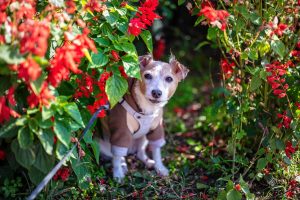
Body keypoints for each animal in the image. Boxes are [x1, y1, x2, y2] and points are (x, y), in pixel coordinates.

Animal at [98, 53, 188, 181]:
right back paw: (123, 166)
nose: (156, 92)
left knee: (140, 152)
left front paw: (160, 167)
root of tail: (130, 150)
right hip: (105, 144)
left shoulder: (156, 129)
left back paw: (148, 162)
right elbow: (117, 157)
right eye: (147, 76)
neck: (147, 109)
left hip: (143, 138)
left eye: (169, 79)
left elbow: (156, 150)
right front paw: (118, 174)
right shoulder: (121, 130)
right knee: (117, 155)